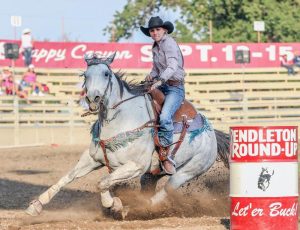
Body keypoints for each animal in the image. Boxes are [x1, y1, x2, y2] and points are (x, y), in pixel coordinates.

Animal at [25, 52, 230, 217]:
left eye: (106, 74)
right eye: (85, 75)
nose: (93, 99)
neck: (121, 121)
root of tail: (212, 134)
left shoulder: (135, 166)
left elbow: (102, 182)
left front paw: (113, 204)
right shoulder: (92, 159)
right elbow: (68, 177)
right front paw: (36, 205)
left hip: (187, 172)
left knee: (165, 191)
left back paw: (134, 209)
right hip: (152, 174)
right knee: (150, 185)